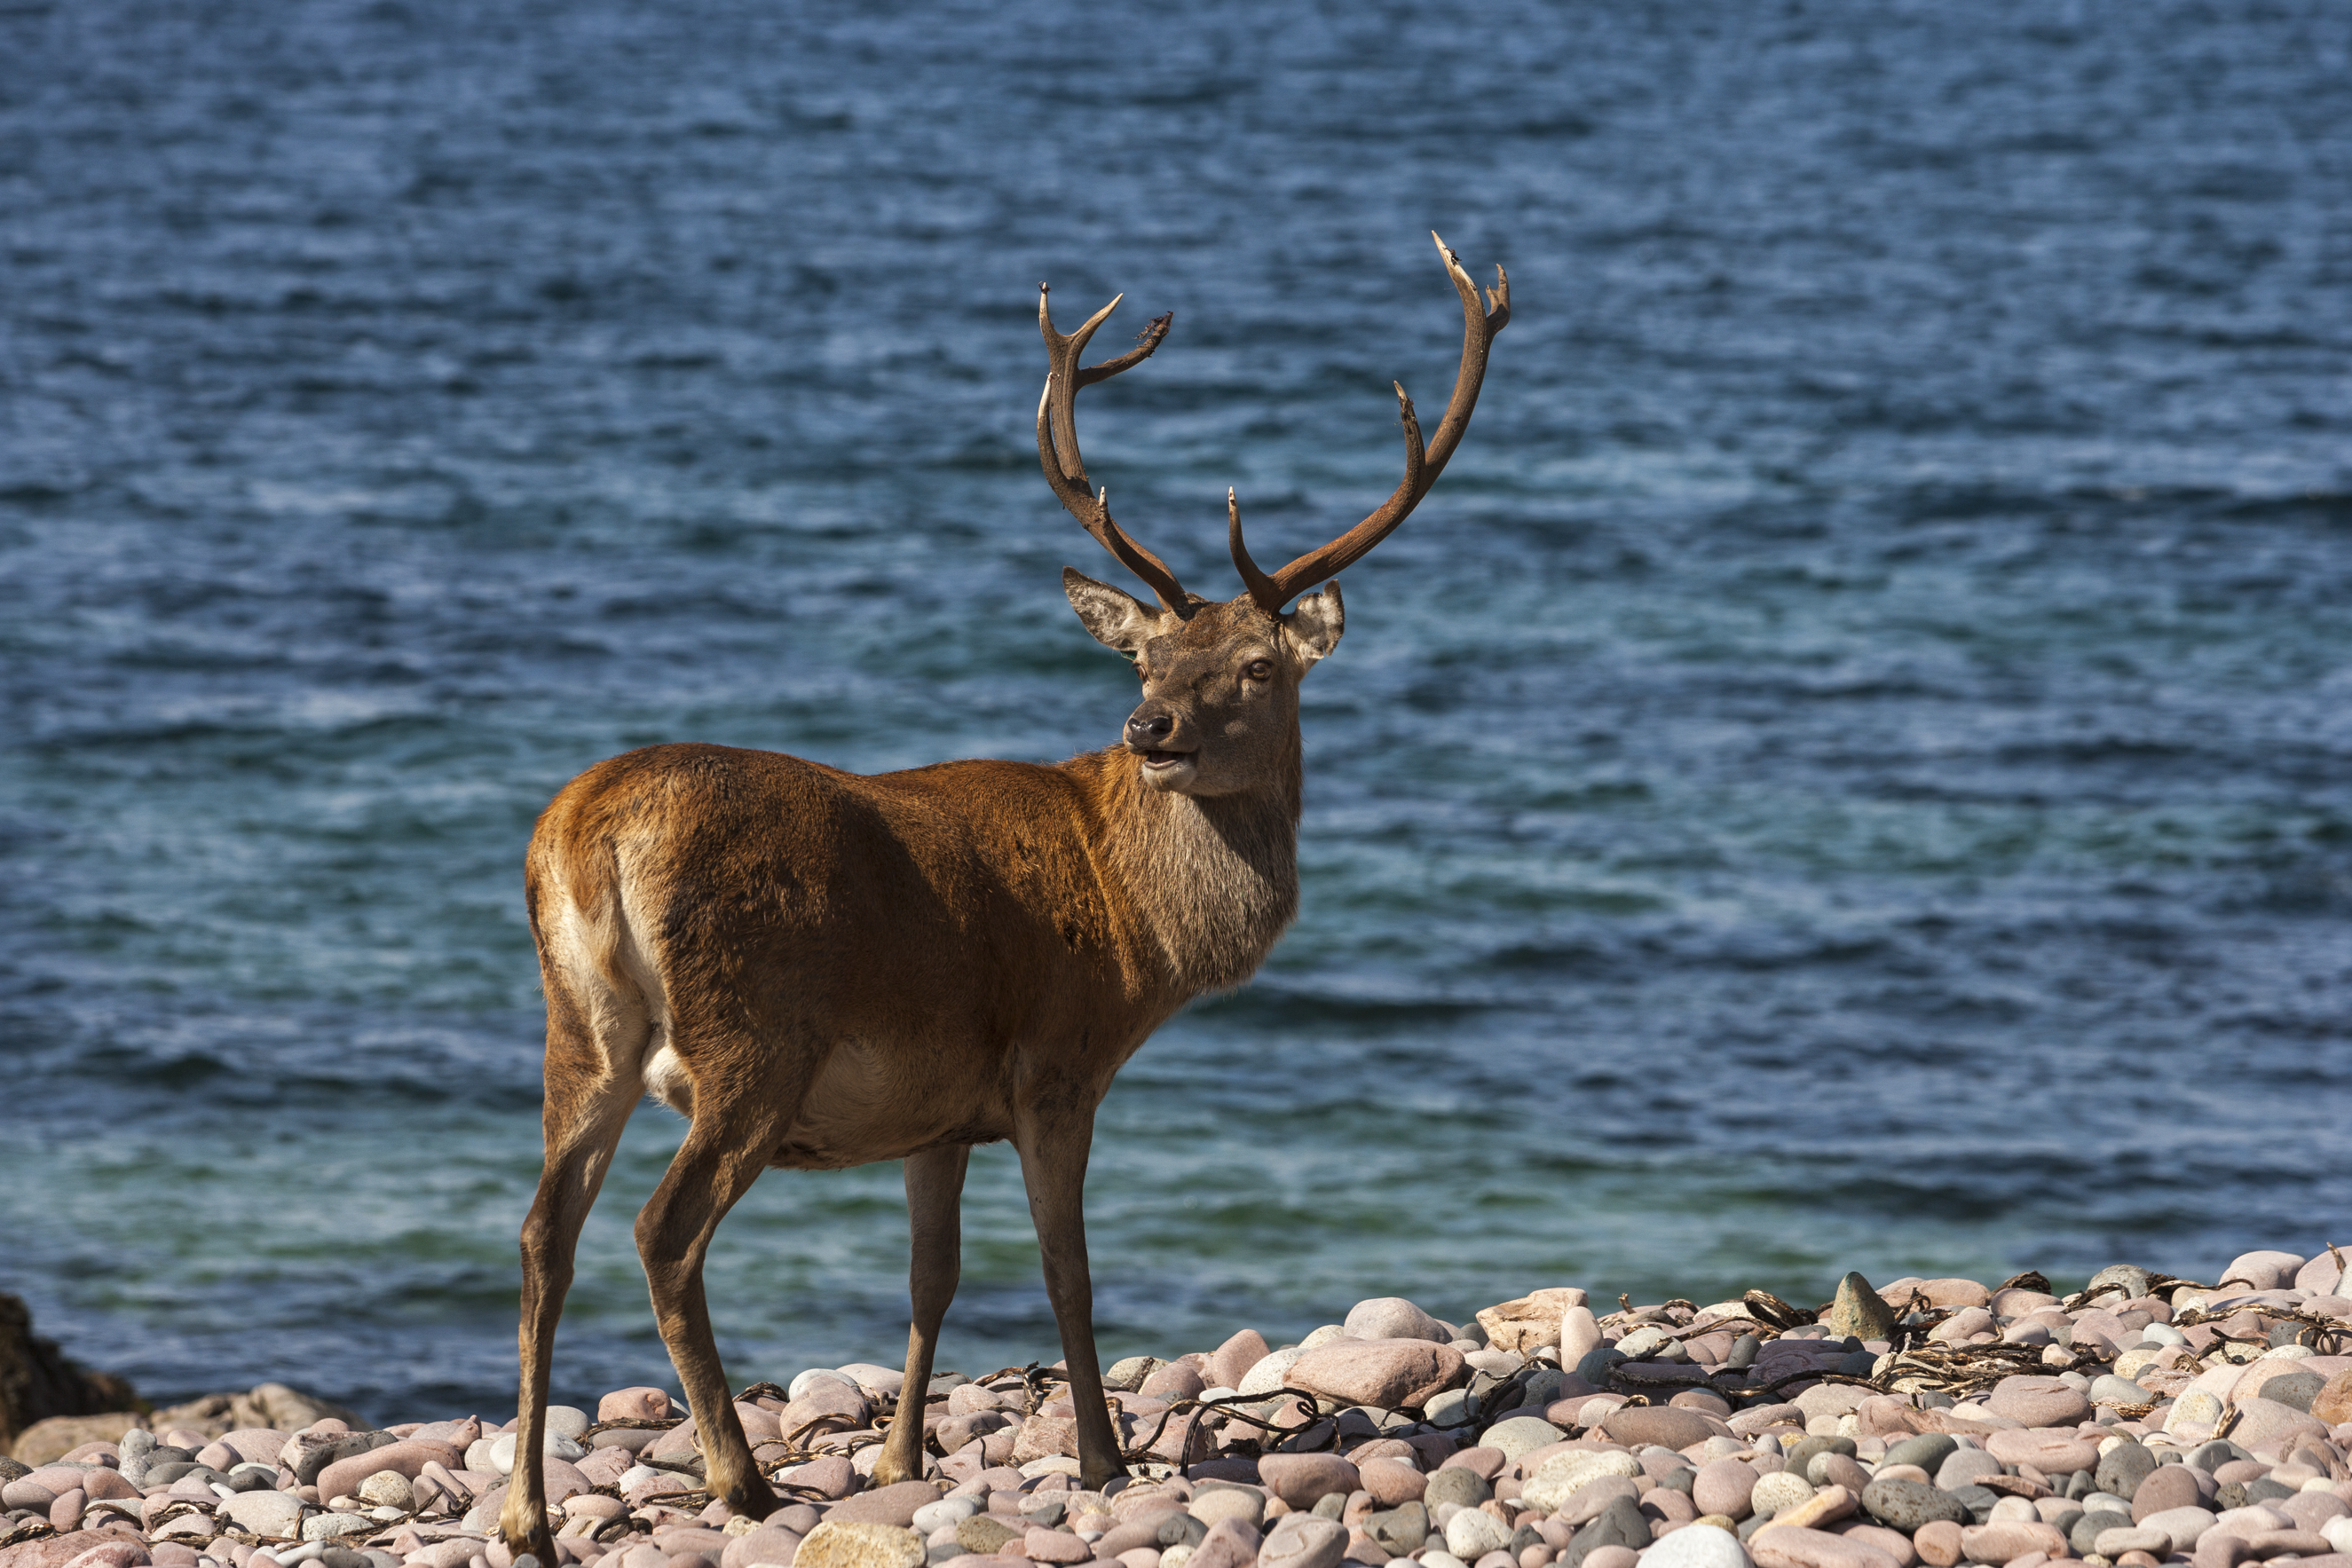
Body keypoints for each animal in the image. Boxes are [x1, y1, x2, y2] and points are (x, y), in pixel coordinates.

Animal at [499, 233, 1507, 1561]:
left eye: (1254, 665)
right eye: (1148, 657)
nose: (1149, 729)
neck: (1140, 930)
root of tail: (589, 832)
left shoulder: (936, 1112)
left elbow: (932, 1277)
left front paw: (897, 1455)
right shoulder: (1055, 1061)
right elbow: (1065, 1267)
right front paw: (1103, 1453)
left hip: (580, 1030)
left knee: (540, 1230)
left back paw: (525, 1512)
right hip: (753, 1036)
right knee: (661, 1232)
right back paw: (740, 1481)